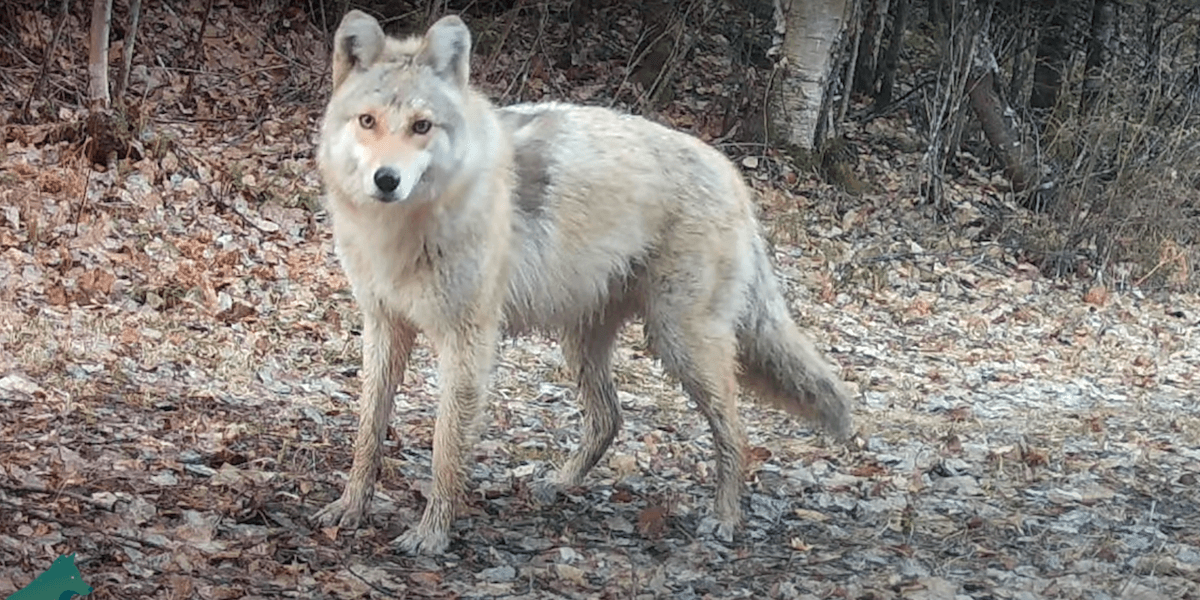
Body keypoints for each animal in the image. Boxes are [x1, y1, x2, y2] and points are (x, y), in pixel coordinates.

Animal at [309, 10, 854, 552]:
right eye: (368, 121)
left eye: (421, 126)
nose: (386, 180)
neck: (400, 232)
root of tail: (732, 174)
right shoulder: (384, 327)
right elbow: (368, 431)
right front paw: (350, 509)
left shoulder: (467, 342)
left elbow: (446, 447)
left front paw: (432, 534)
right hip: (585, 341)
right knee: (611, 417)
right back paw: (559, 483)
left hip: (679, 345)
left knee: (735, 433)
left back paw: (724, 520)